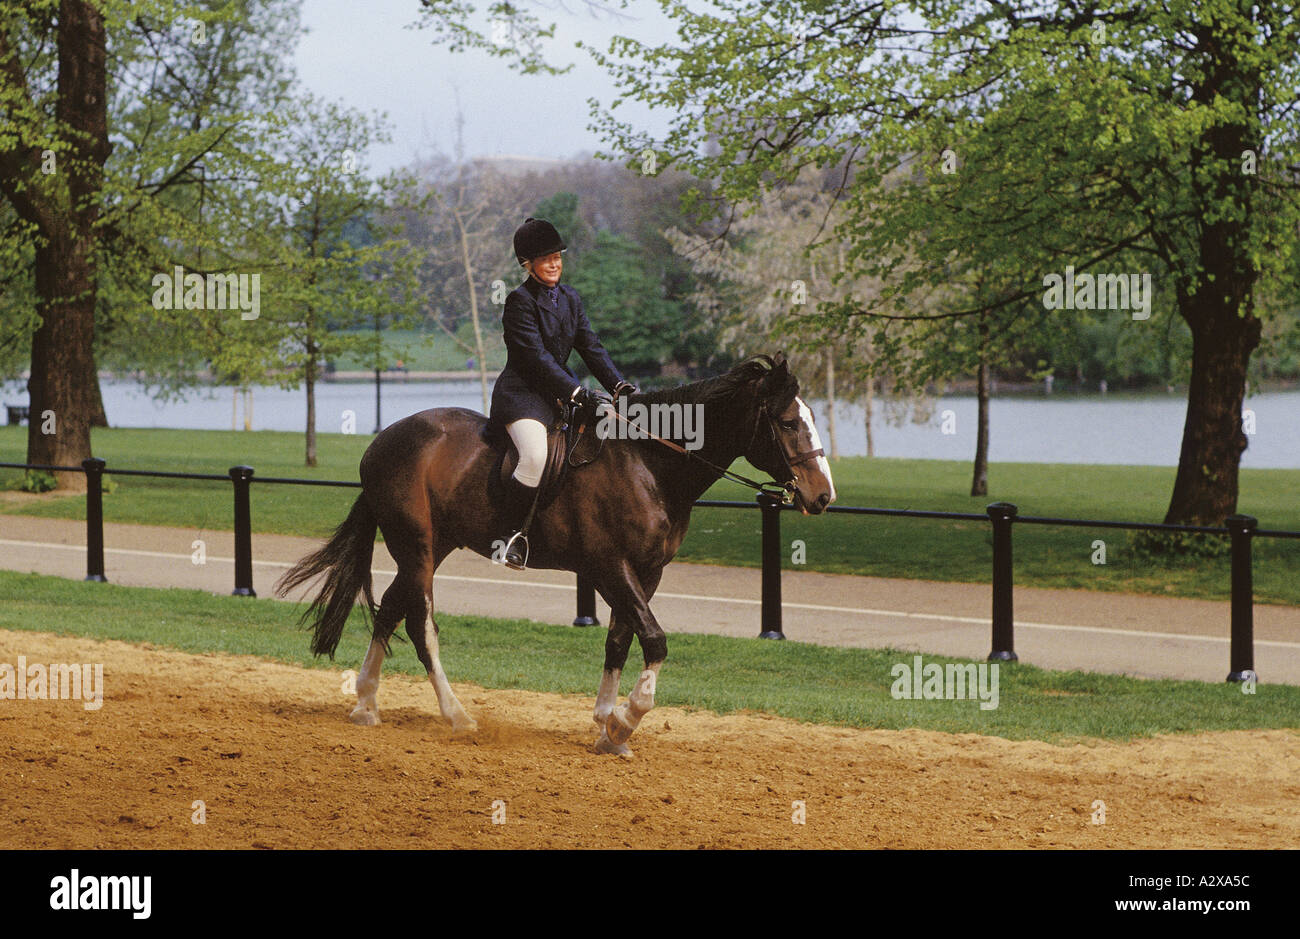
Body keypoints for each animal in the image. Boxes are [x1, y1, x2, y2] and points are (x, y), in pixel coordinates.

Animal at [275, 353, 836, 756]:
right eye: (789, 422)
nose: (823, 496)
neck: (650, 464)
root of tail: (382, 440)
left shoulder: (645, 572)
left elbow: (619, 640)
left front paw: (607, 727)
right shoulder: (611, 567)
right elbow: (653, 640)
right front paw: (626, 720)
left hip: (432, 549)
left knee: (391, 608)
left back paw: (367, 704)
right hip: (417, 547)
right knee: (419, 623)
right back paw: (456, 715)